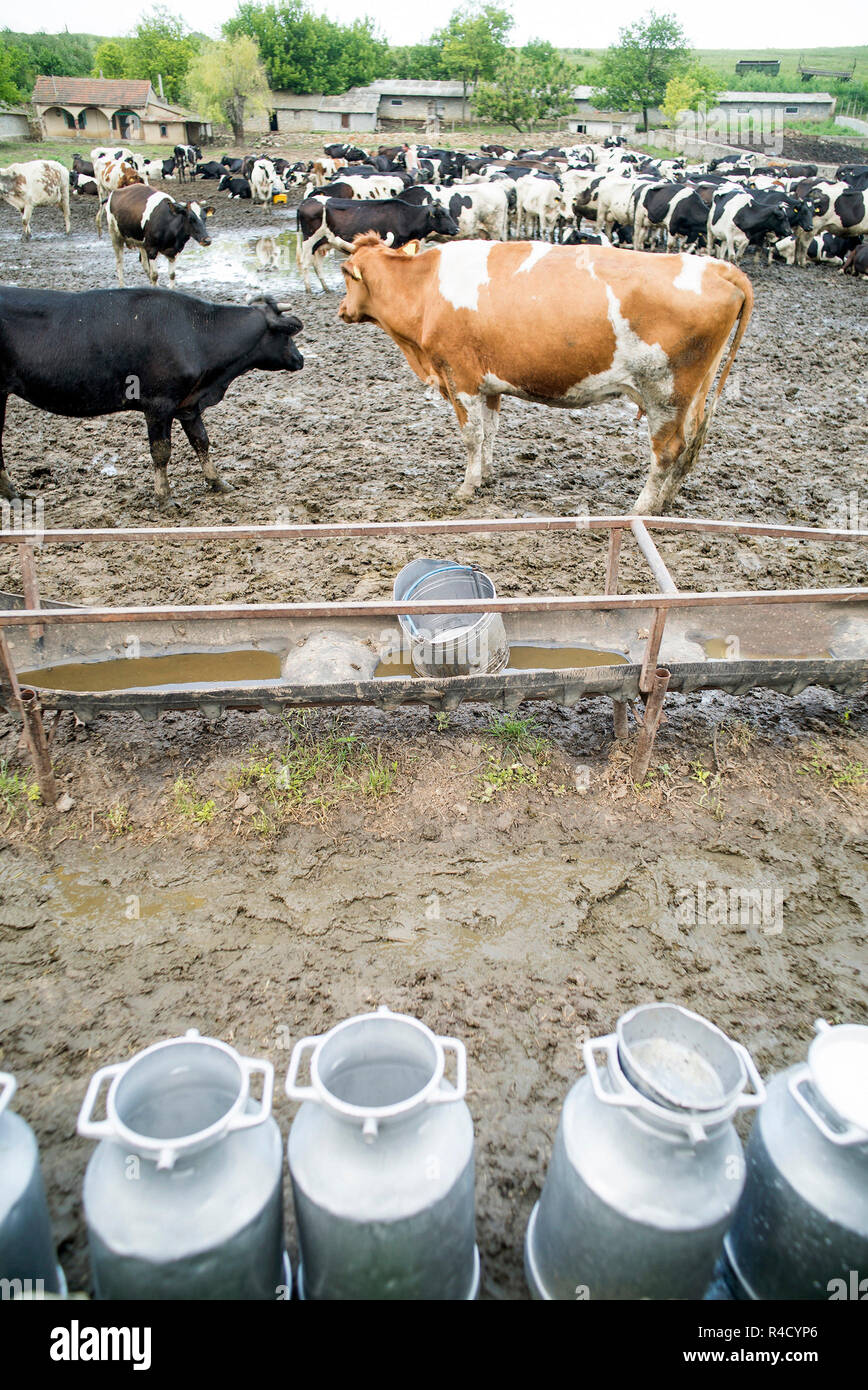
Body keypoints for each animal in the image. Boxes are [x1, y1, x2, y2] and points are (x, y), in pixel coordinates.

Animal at [0, 284, 304, 503]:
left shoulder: (188, 404)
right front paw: (164, 497)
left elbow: (202, 442)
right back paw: (13, 494)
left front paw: (218, 482)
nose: (300, 359)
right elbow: (161, 451)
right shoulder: (159, 404)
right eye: (288, 334)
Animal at [296, 198, 461, 290]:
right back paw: (308, 289)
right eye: (440, 214)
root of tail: (306, 202)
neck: (405, 217)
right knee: (305, 263)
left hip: (321, 244)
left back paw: (326, 288)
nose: (456, 229)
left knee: (317, 265)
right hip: (309, 240)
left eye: (448, 212)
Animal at [338, 236, 751, 514]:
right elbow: (490, 431)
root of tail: (720, 268)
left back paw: (641, 508)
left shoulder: (460, 377)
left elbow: (472, 436)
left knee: (667, 451)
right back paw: (664, 502)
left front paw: (467, 487)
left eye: (345, 274)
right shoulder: (489, 384)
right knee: (690, 447)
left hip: (665, 391)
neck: (424, 288)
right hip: (694, 394)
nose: (342, 310)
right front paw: (486, 475)